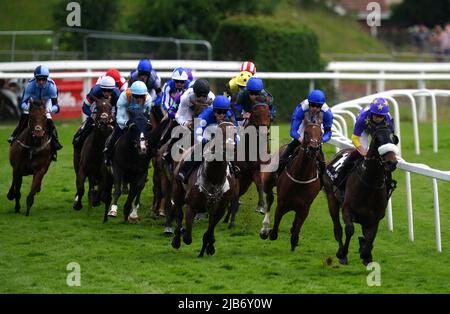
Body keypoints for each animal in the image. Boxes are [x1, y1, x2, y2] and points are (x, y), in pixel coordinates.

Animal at [171, 121, 239, 256]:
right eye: (219, 134)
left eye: (235, 134)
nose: (230, 148)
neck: (213, 178)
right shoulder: (191, 206)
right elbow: (187, 237)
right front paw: (182, 233)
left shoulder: (220, 209)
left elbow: (209, 231)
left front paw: (209, 246)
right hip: (177, 191)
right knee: (179, 214)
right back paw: (176, 239)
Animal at [260, 121, 324, 251]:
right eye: (306, 132)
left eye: (321, 133)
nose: (313, 148)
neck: (301, 176)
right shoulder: (282, 203)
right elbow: (274, 232)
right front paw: (268, 231)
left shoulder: (304, 207)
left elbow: (295, 232)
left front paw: (295, 238)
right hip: (268, 182)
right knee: (269, 199)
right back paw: (264, 229)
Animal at [322, 127, 400, 264]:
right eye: (377, 140)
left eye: (394, 140)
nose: (391, 162)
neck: (369, 184)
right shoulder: (347, 210)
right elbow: (349, 229)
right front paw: (343, 253)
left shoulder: (374, 218)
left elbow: (370, 238)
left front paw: (366, 254)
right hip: (331, 198)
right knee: (337, 228)